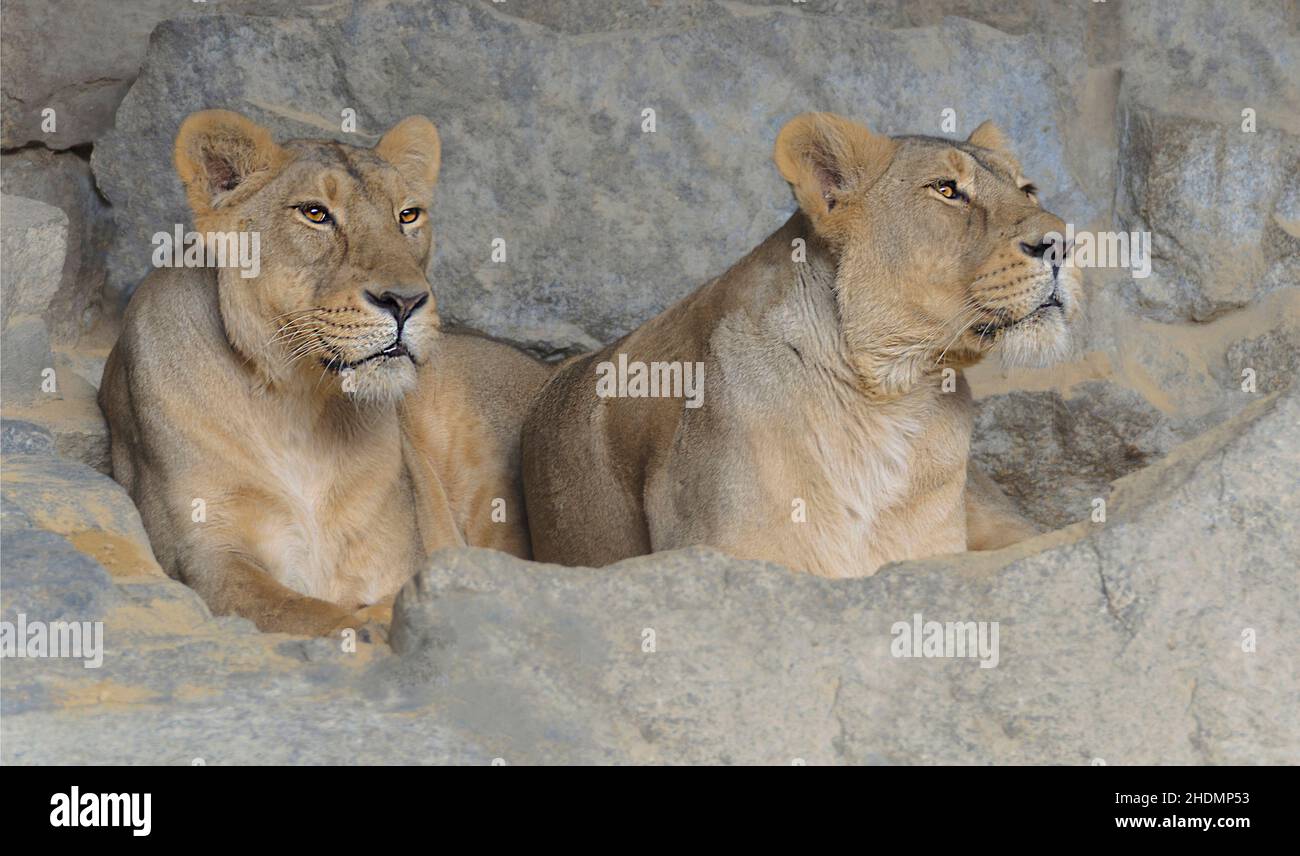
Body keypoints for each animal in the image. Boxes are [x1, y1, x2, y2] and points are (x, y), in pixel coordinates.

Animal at [100, 109, 548, 632]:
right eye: (315, 214)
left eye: (408, 215)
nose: (406, 301)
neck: (295, 406)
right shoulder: (205, 556)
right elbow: (310, 614)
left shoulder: (397, 560)